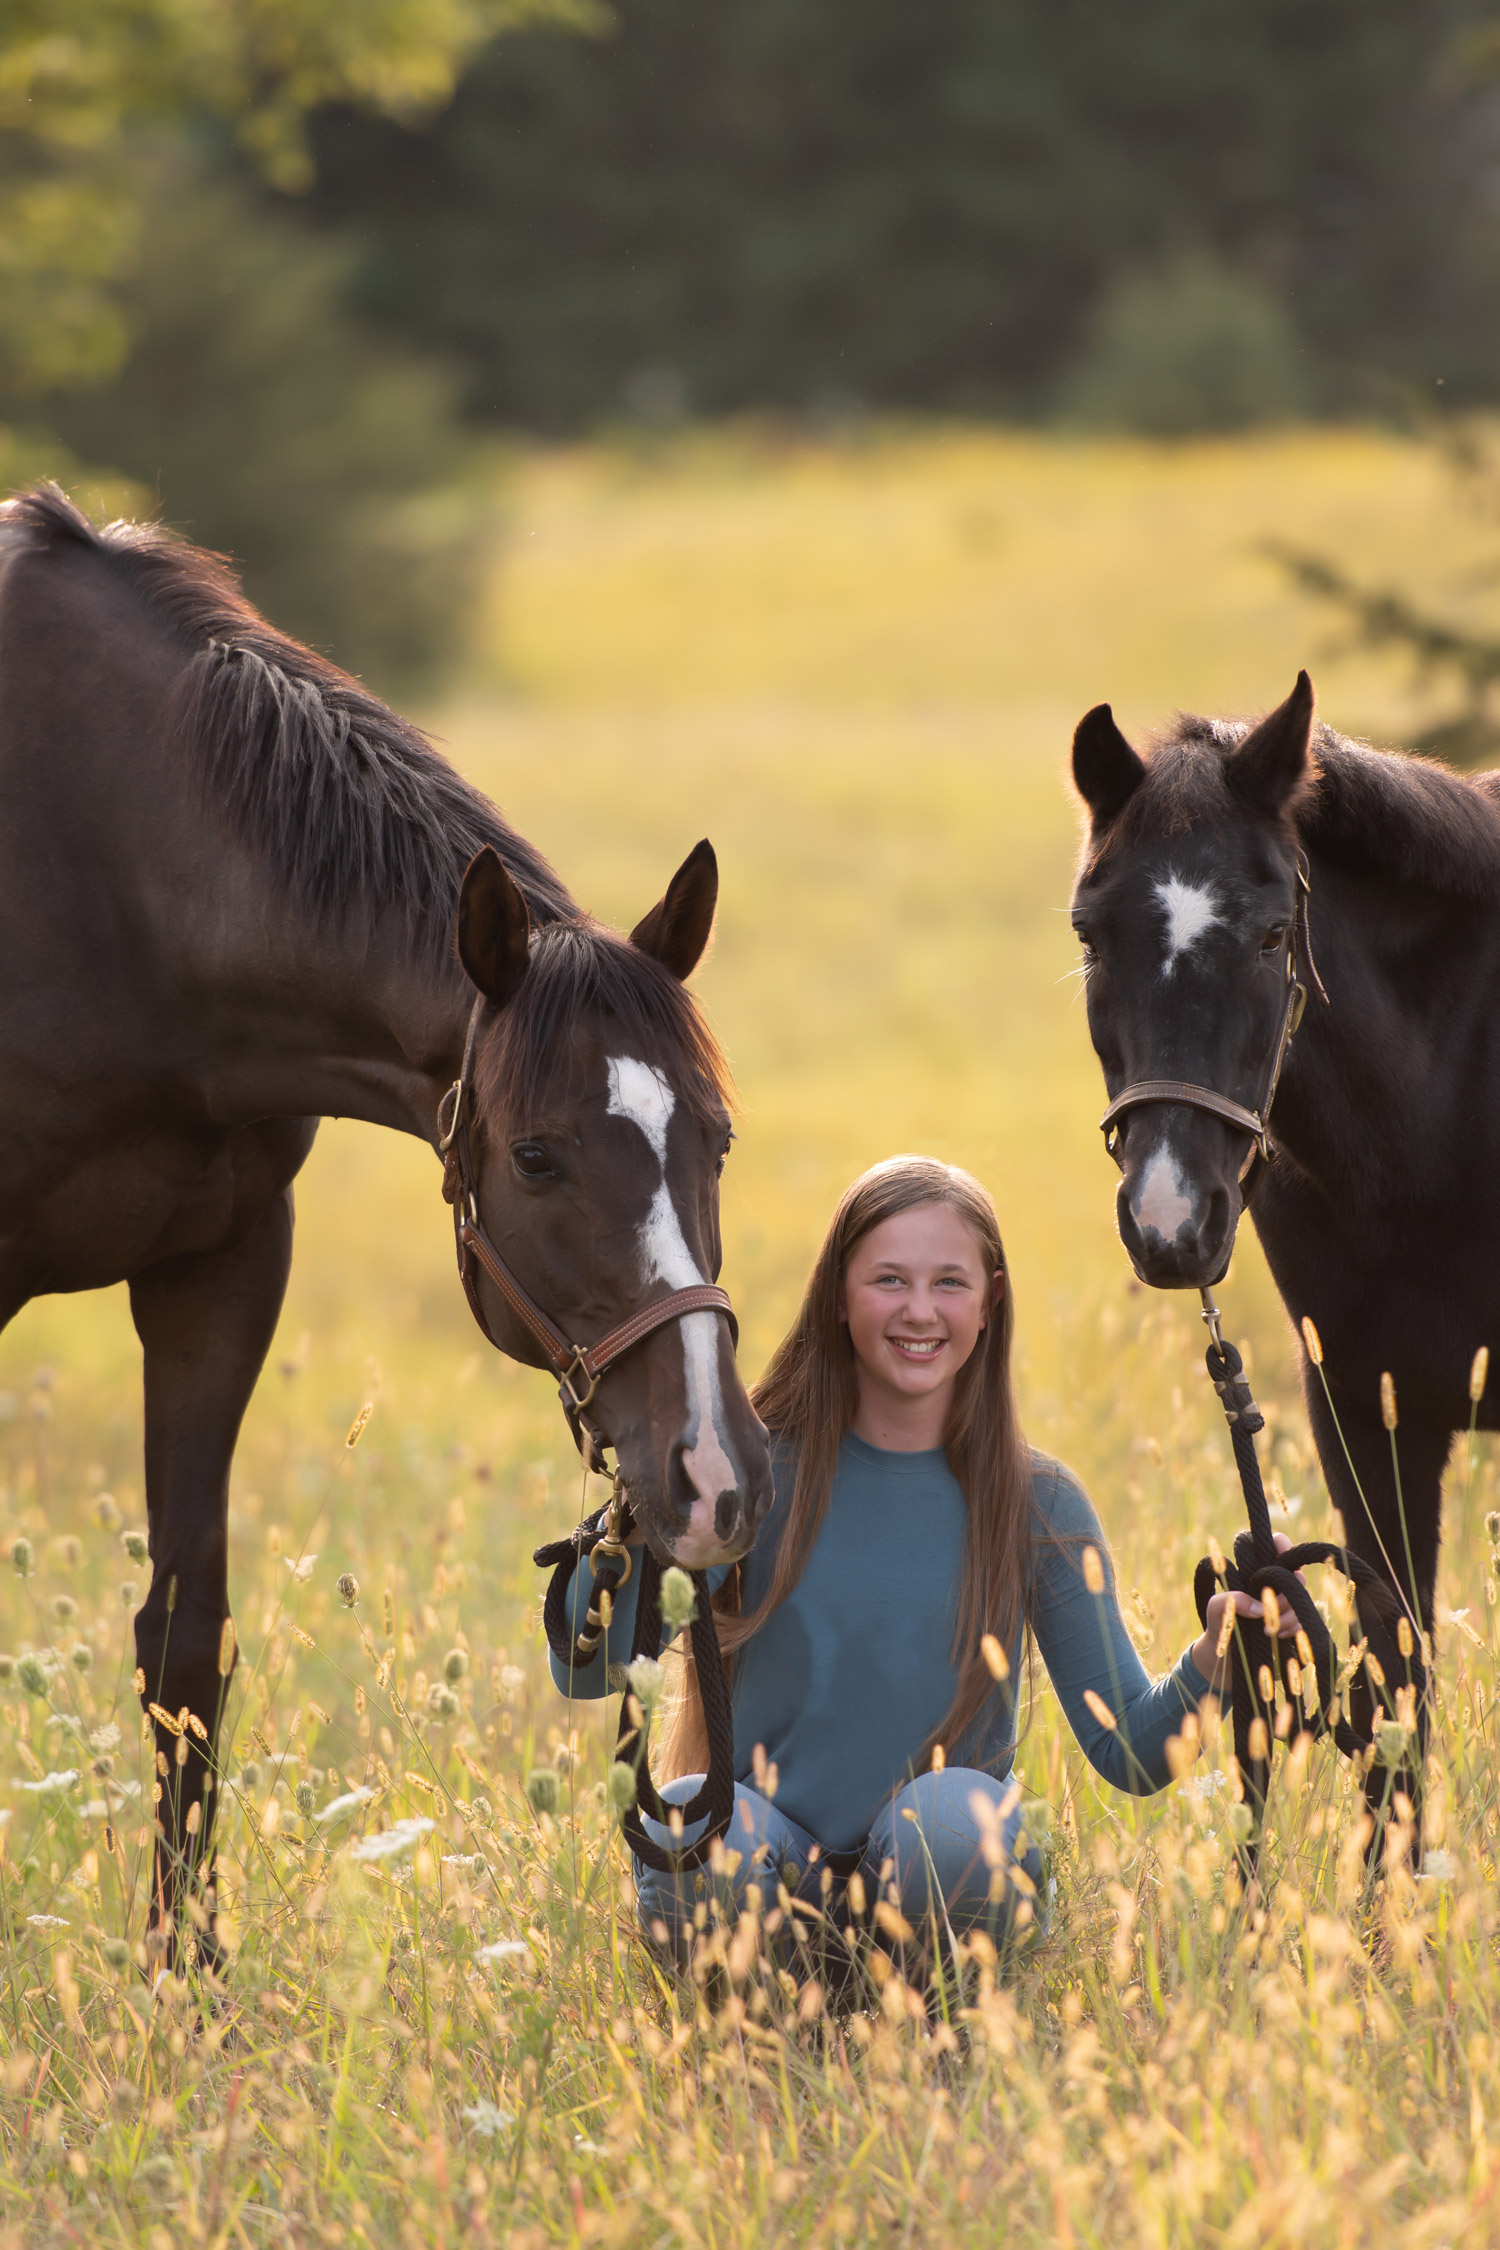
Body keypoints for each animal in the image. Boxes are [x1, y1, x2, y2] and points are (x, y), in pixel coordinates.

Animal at [0, 488, 773, 1953]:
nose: (716, 1477)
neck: (96, 873)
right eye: (535, 1156)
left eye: (717, 1136)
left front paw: (187, 1973)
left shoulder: (221, 1268)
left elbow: (185, 1638)